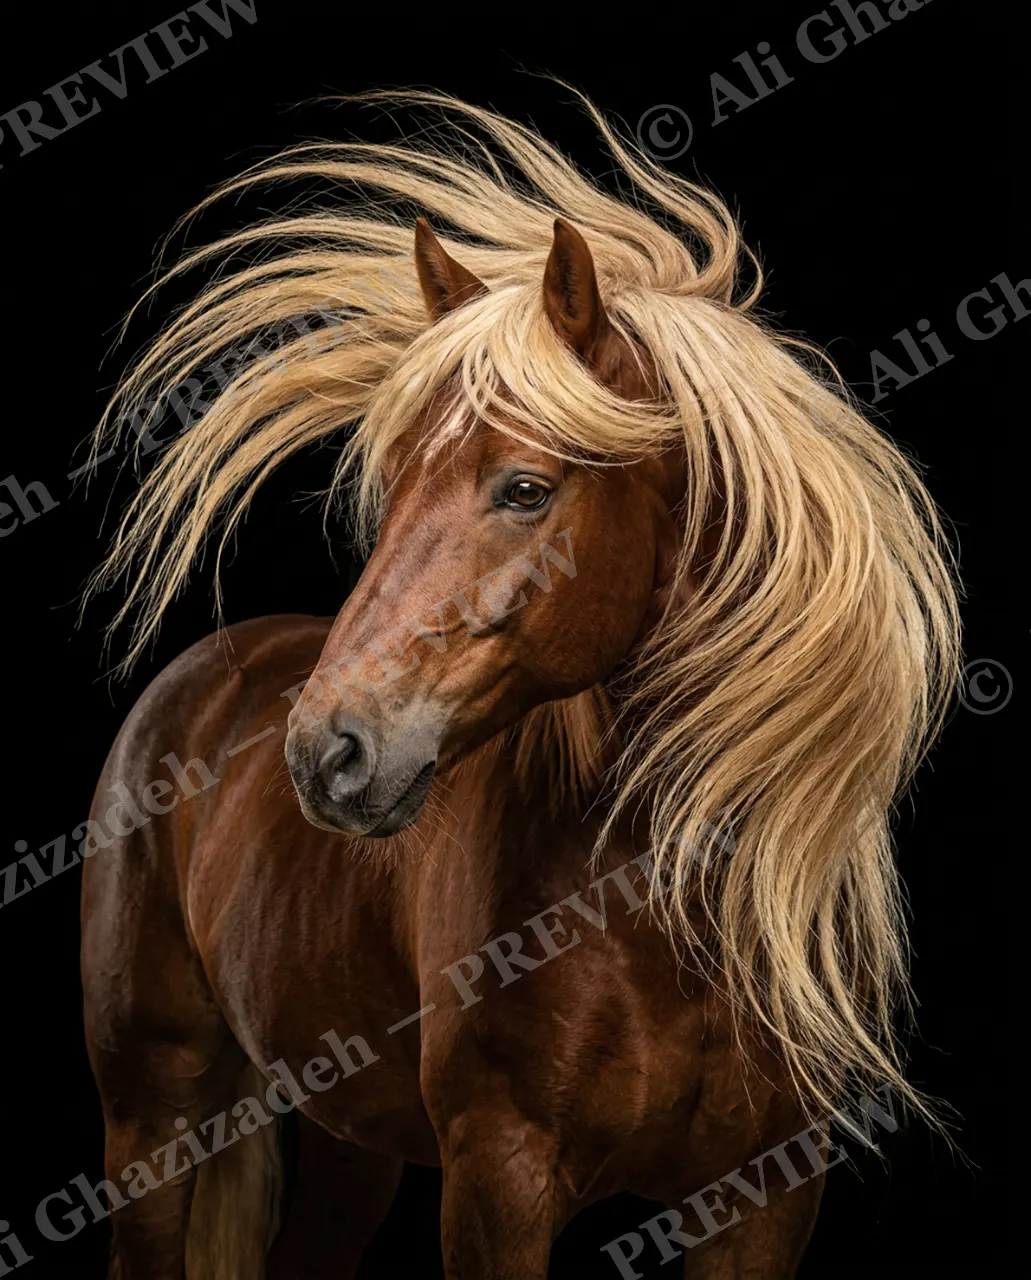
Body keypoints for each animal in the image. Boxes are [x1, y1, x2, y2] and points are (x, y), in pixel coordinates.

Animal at [80, 91, 959, 1278]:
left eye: (526, 488)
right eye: (393, 480)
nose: (326, 752)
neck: (665, 913)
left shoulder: (769, 1193)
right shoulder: (497, 1176)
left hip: (347, 1139)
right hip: (154, 1113)